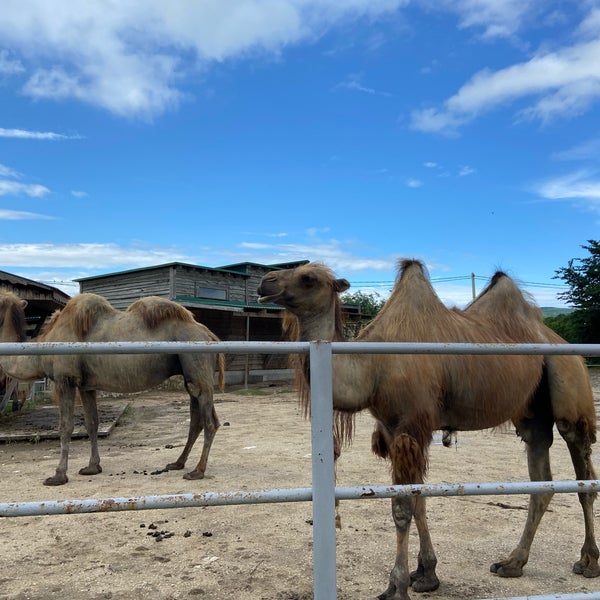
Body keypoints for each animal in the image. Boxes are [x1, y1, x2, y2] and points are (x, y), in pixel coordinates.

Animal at [0, 292, 225, 488]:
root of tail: (210, 335)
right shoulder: (86, 385)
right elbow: (92, 424)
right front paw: (92, 467)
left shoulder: (65, 380)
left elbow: (66, 427)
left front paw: (58, 475)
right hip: (191, 377)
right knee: (197, 420)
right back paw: (177, 463)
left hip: (198, 367)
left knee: (210, 422)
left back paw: (197, 471)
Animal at [255, 260, 596, 600]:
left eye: (308, 278)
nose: (264, 282)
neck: (374, 366)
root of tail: (560, 342)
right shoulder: (394, 430)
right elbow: (419, 499)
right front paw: (426, 574)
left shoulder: (411, 425)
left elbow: (402, 507)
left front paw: (397, 586)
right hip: (531, 413)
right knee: (542, 479)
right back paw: (512, 563)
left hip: (568, 381)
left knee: (583, 472)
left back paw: (588, 561)